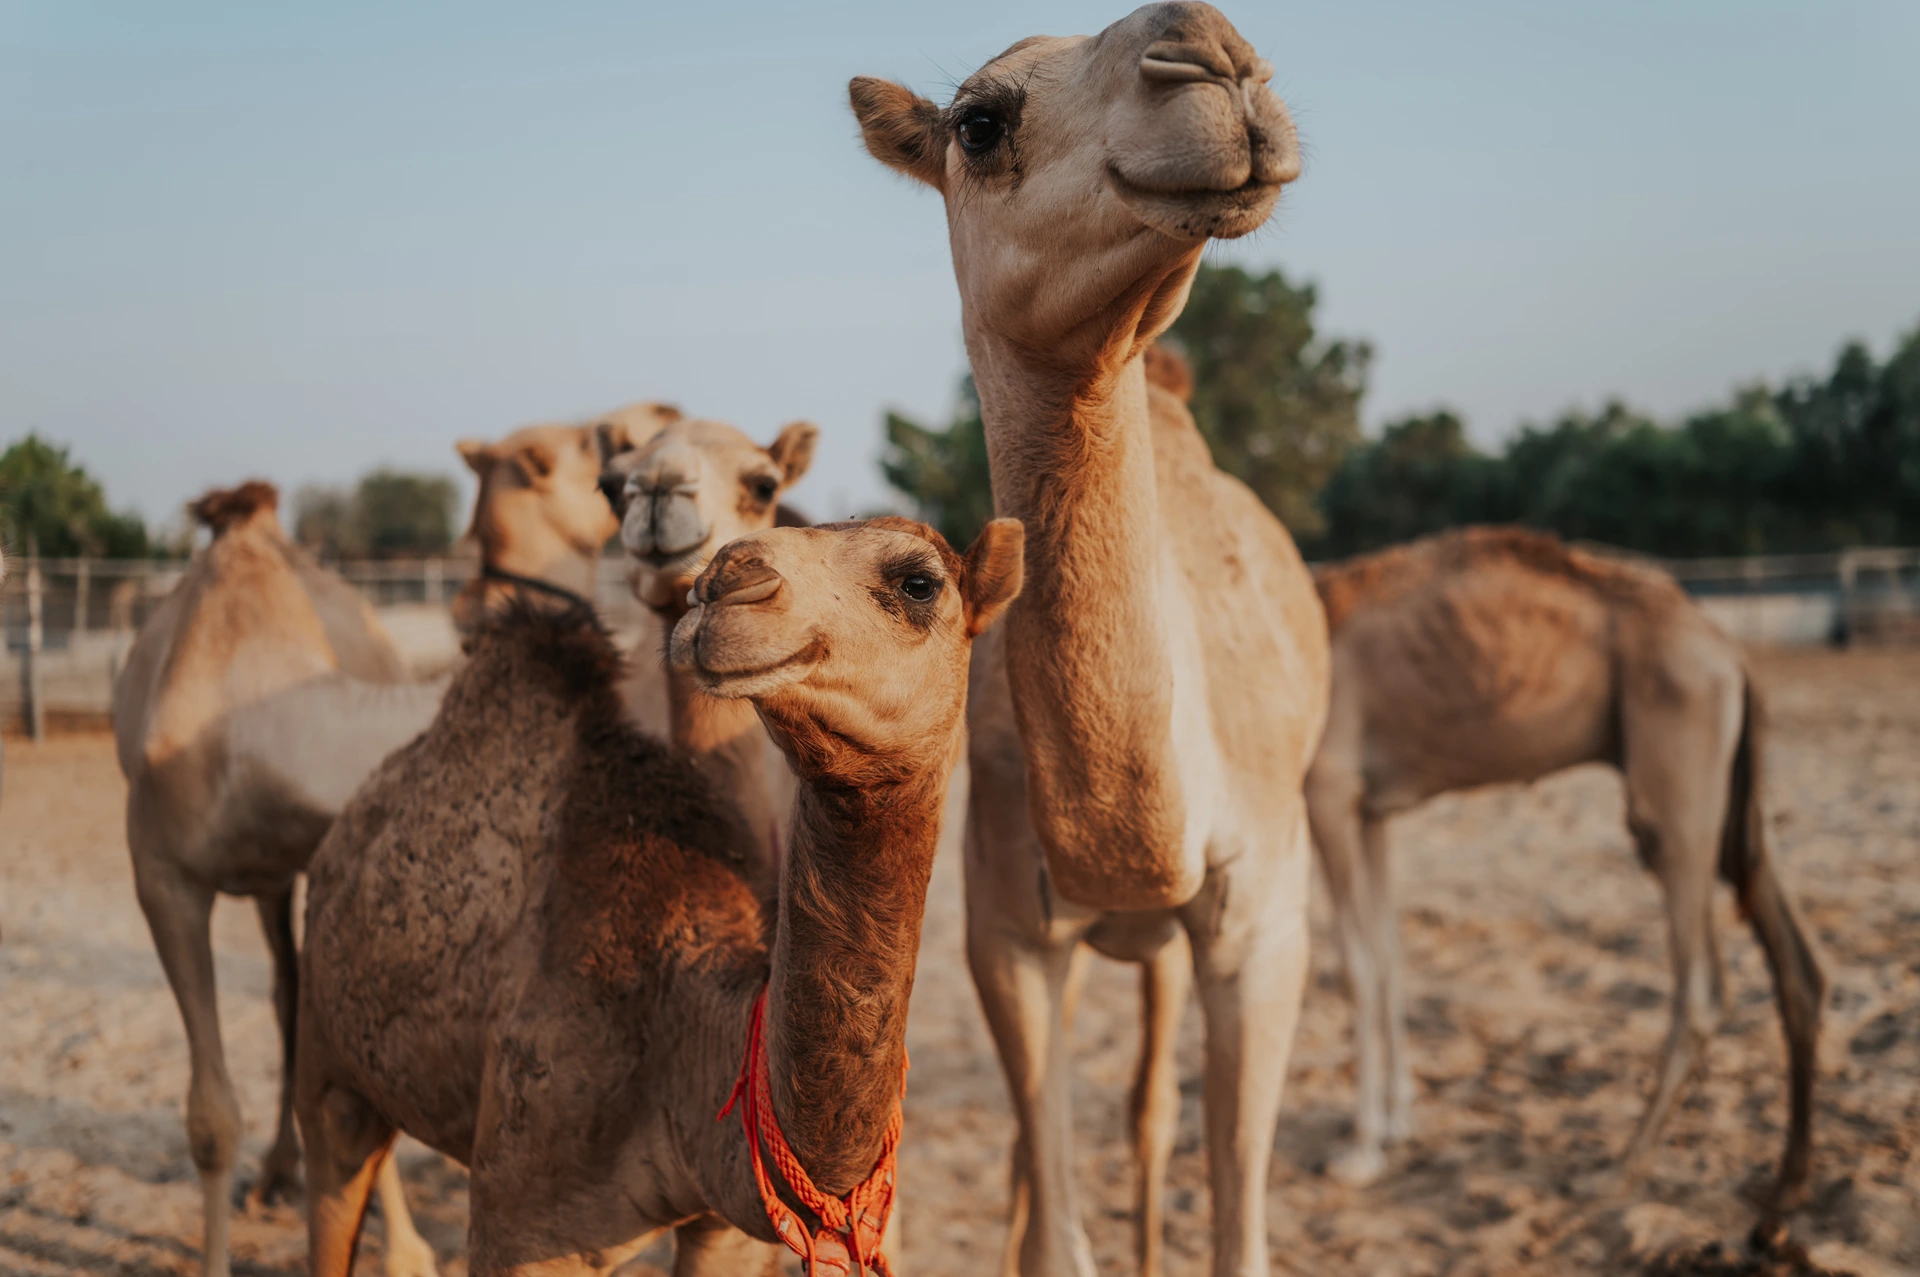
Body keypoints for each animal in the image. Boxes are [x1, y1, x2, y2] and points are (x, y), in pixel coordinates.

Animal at [113, 481, 449, 1277]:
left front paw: (407, 1252)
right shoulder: (162, 877)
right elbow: (209, 1117)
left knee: (292, 993)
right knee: (283, 991)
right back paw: (273, 1174)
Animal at [296, 515, 1025, 1277]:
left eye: (918, 582)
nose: (726, 579)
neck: (680, 1037)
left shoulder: (727, 1231)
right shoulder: (520, 1221)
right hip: (326, 1059)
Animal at [850, 7, 1330, 1274]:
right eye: (978, 121)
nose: (1216, 55)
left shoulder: (1264, 916)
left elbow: (1238, 1223)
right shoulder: (1007, 927)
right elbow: (1055, 1223)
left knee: (1151, 1110)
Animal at [1302, 527, 1826, 1206]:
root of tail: (1730, 653)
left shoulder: (1328, 789)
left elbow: (1359, 967)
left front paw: (1360, 1151)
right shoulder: (1371, 810)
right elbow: (1390, 955)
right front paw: (1398, 1123)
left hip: (1678, 770)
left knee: (1701, 984)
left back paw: (1619, 1169)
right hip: (1737, 797)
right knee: (1798, 965)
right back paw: (1781, 1194)